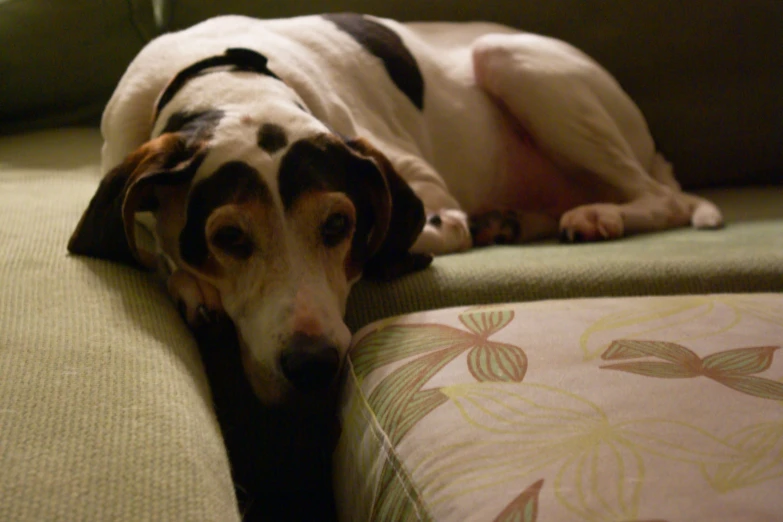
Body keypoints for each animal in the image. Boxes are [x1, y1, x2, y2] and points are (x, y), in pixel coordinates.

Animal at [67, 11, 724, 402]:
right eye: (228, 238)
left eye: (339, 224)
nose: (313, 366)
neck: (225, 74)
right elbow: (149, 245)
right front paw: (191, 283)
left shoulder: (425, 191)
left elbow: (427, 229)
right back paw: (516, 219)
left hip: (514, 62)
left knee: (661, 199)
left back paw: (596, 215)